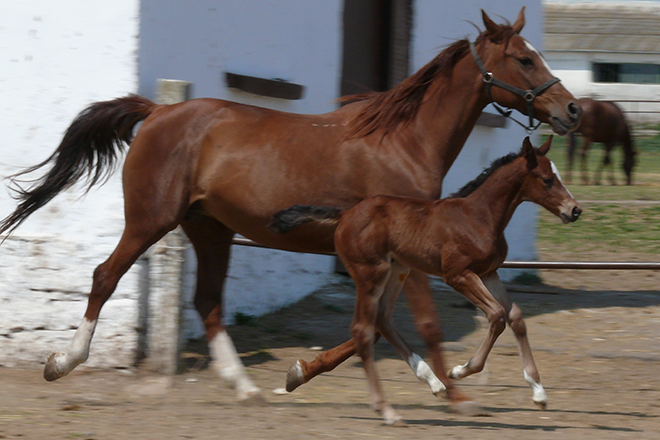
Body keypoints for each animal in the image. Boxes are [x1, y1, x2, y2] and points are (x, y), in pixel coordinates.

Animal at [270, 136, 581, 424]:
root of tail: (345, 214)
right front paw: (461, 370)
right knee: (362, 330)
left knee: (382, 320)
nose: (574, 210)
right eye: (547, 179)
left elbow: (515, 316)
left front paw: (539, 392)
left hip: (397, 270)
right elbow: (496, 315)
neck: (479, 217)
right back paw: (388, 409)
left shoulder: (488, 272)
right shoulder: (457, 274)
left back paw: (431, 381)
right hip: (371, 273)